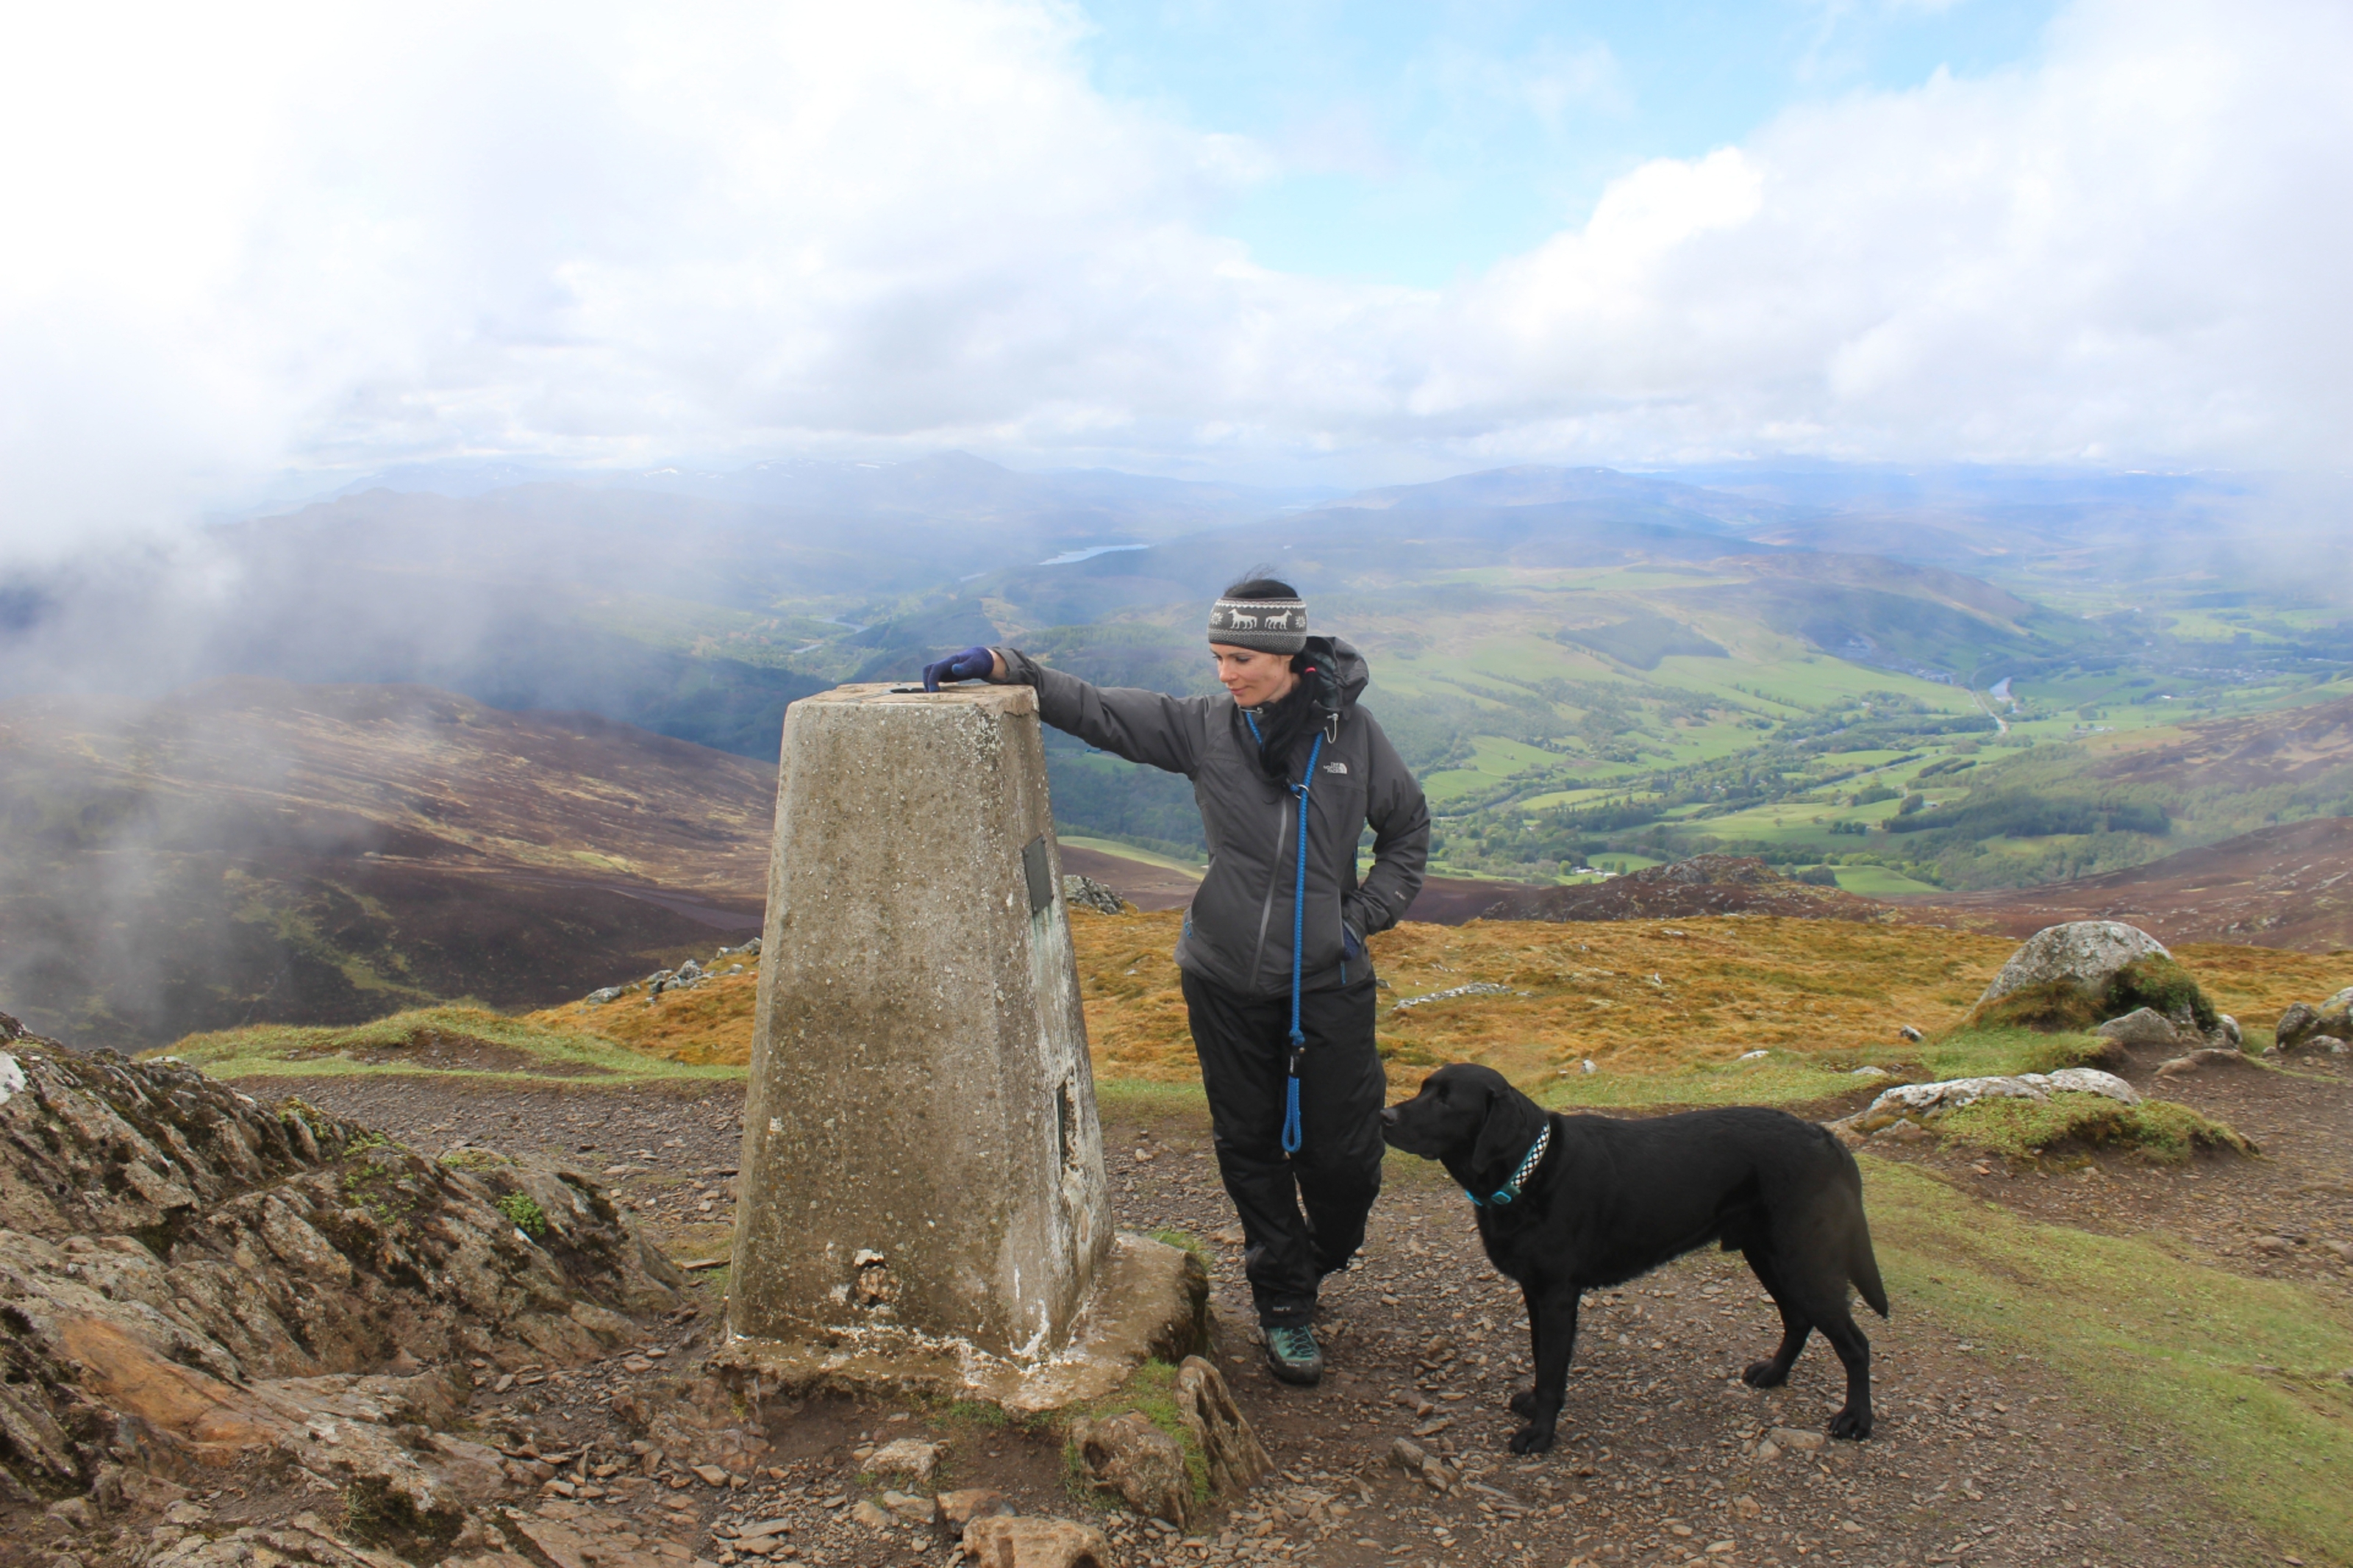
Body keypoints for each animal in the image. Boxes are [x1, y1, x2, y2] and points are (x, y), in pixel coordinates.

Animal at [1374, 1062, 1891, 1457]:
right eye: (1423, 1089)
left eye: (1446, 1101)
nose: (1383, 1115)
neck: (1529, 1169)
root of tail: (1825, 1137)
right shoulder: (1534, 1291)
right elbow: (1542, 1359)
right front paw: (1535, 1408)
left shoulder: (1557, 1294)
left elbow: (1552, 1371)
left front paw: (1540, 1435)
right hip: (1768, 1255)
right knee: (1798, 1319)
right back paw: (1772, 1374)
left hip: (1804, 1260)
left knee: (1855, 1343)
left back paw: (1855, 1420)